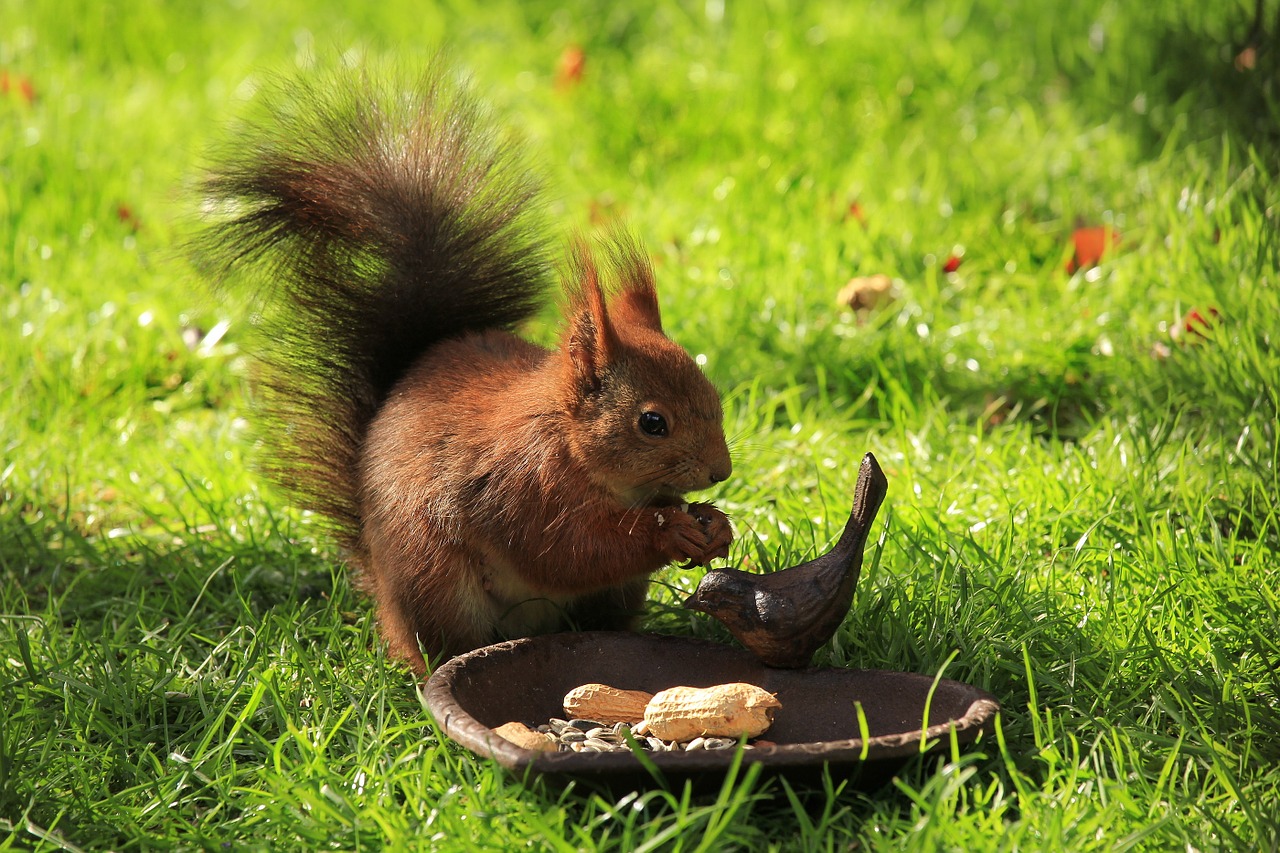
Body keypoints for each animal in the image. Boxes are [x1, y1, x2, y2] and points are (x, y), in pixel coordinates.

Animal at [194, 64, 737, 671]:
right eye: (652, 423)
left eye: (713, 396)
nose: (720, 472)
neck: (573, 446)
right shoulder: (522, 488)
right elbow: (570, 551)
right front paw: (669, 534)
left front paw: (714, 523)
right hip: (437, 586)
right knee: (450, 644)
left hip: (611, 597)